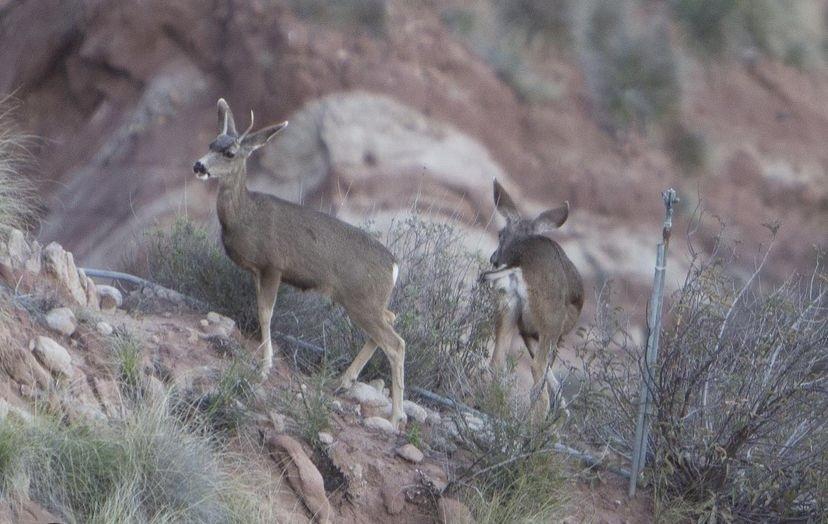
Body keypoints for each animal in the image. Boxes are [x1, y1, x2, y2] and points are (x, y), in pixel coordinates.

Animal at [194, 98, 408, 426]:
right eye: (211, 143)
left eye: (229, 152)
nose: (199, 166)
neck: (246, 217)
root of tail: (394, 266)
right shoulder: (257, 271)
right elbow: (261, 311)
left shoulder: (273, 265)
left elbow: (266, 313)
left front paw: (265, 366)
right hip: (366, 300)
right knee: (391, 319)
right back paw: (344, 381)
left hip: (360, 299)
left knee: (396, 343)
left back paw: (396, 417)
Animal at [476, 180, 584, 422]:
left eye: (500, 233)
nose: (494, 258)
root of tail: (517, 262)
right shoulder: (544, 332)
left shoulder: (526, 331)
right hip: (550, 319)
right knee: (537, 369)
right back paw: (536, 425)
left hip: (508, 305)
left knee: (498, 359)